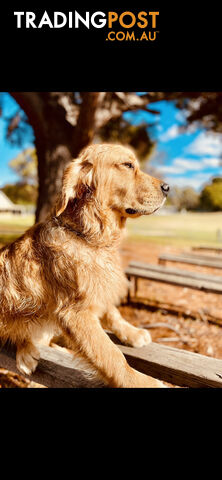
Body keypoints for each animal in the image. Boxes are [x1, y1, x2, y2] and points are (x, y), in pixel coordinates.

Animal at [0, 144, 168, 388]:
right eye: (128, 165)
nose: (168, 187)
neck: (89, 237)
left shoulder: (97, 289)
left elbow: (113, 312)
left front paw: (132, 332)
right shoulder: (76, 313)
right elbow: (111, 355)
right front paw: (143, 382)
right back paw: (26, 352)